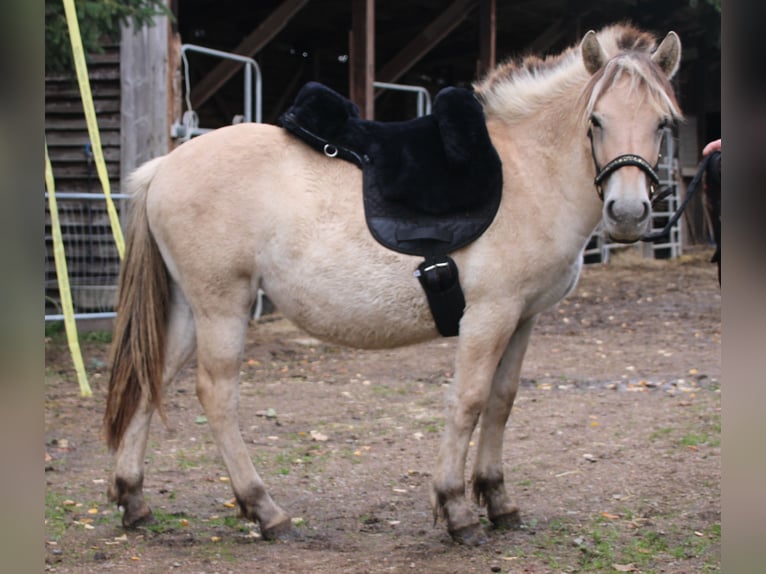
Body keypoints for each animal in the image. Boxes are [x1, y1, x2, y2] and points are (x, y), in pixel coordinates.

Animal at [103, 24, 684, 548]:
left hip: (188, 309)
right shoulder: (489, 315)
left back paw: (133, 499)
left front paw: (498, 501)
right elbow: (468, 401)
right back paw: (265, 510)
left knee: (151, 379)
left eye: (663, 123)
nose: (628, 213)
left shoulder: (523, 318)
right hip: (223, 306)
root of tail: (164, 166)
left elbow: (501, 401)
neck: (526, 174)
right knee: (217, 394)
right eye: (596, 120)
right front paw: (456, 510)